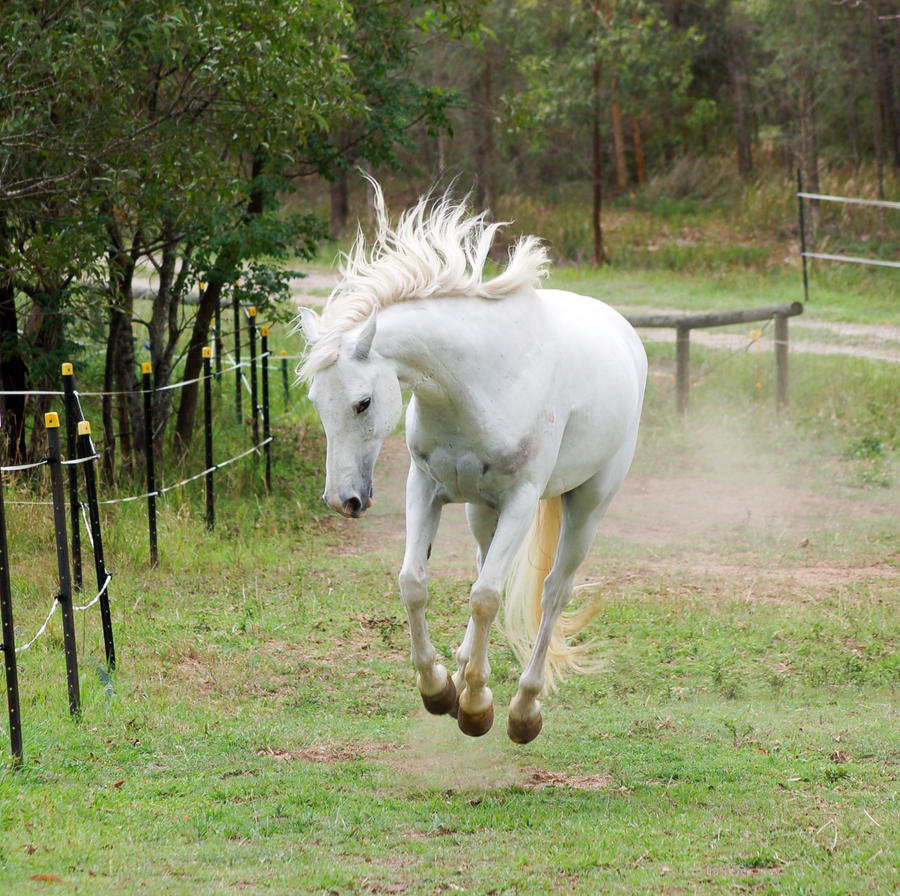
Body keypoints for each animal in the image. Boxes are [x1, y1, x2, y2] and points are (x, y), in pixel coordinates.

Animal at [298, 180, 644, 744]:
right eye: (315, 402)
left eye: (363, 403)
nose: (340, 499)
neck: (477, 381)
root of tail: (626, 335)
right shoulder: (426, 488)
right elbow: (414, 583)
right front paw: (440, 688)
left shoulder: (521, 502)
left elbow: (485, 597)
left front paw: (479, 706)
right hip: (480, 509)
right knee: (486, 564)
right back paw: (462, 669)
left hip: (587, 505)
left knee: (553, 593)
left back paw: (524, 707)